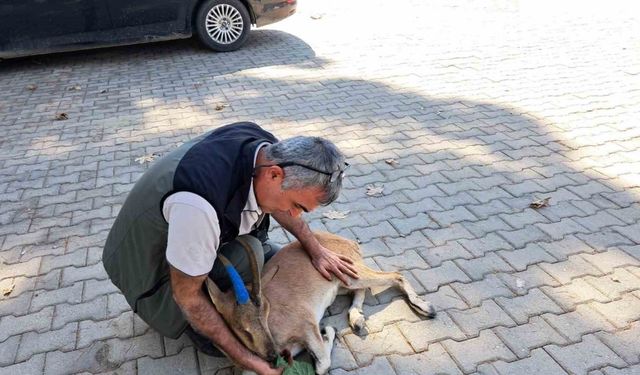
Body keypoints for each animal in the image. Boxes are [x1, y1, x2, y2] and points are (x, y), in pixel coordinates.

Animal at [205, 231, 436, 374]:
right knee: (362, 290)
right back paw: (357, 319)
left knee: (395, 275)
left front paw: (328, 333)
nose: (271, 355)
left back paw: (425, 307)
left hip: (351, 272)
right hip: (343, 282)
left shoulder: (306, 325)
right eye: (240, 328)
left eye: (265, 313)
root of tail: (349, 242)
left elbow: (323, 363)